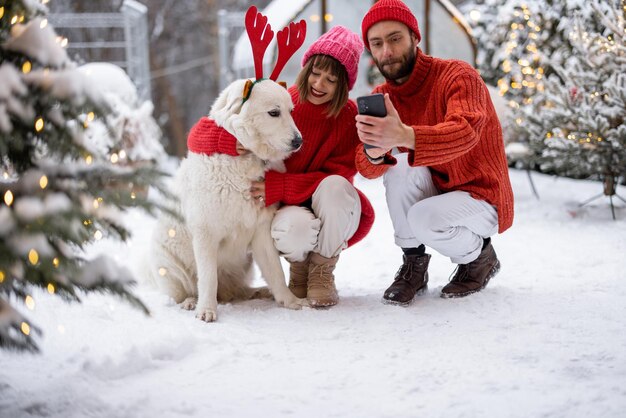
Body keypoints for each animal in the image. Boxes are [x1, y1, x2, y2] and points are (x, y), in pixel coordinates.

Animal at [151, 77, 308, 320]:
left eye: (291, 111)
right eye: (274, 113)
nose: (298, 141)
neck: (244, 161)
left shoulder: (262, 230)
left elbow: (276, 271)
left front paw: (290, 301)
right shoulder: (205, 233)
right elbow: (208, 277)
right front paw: (206, 310)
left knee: (238, 290)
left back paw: (259, 292)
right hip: (169, 265)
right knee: (187, 290)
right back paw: (191, 302)